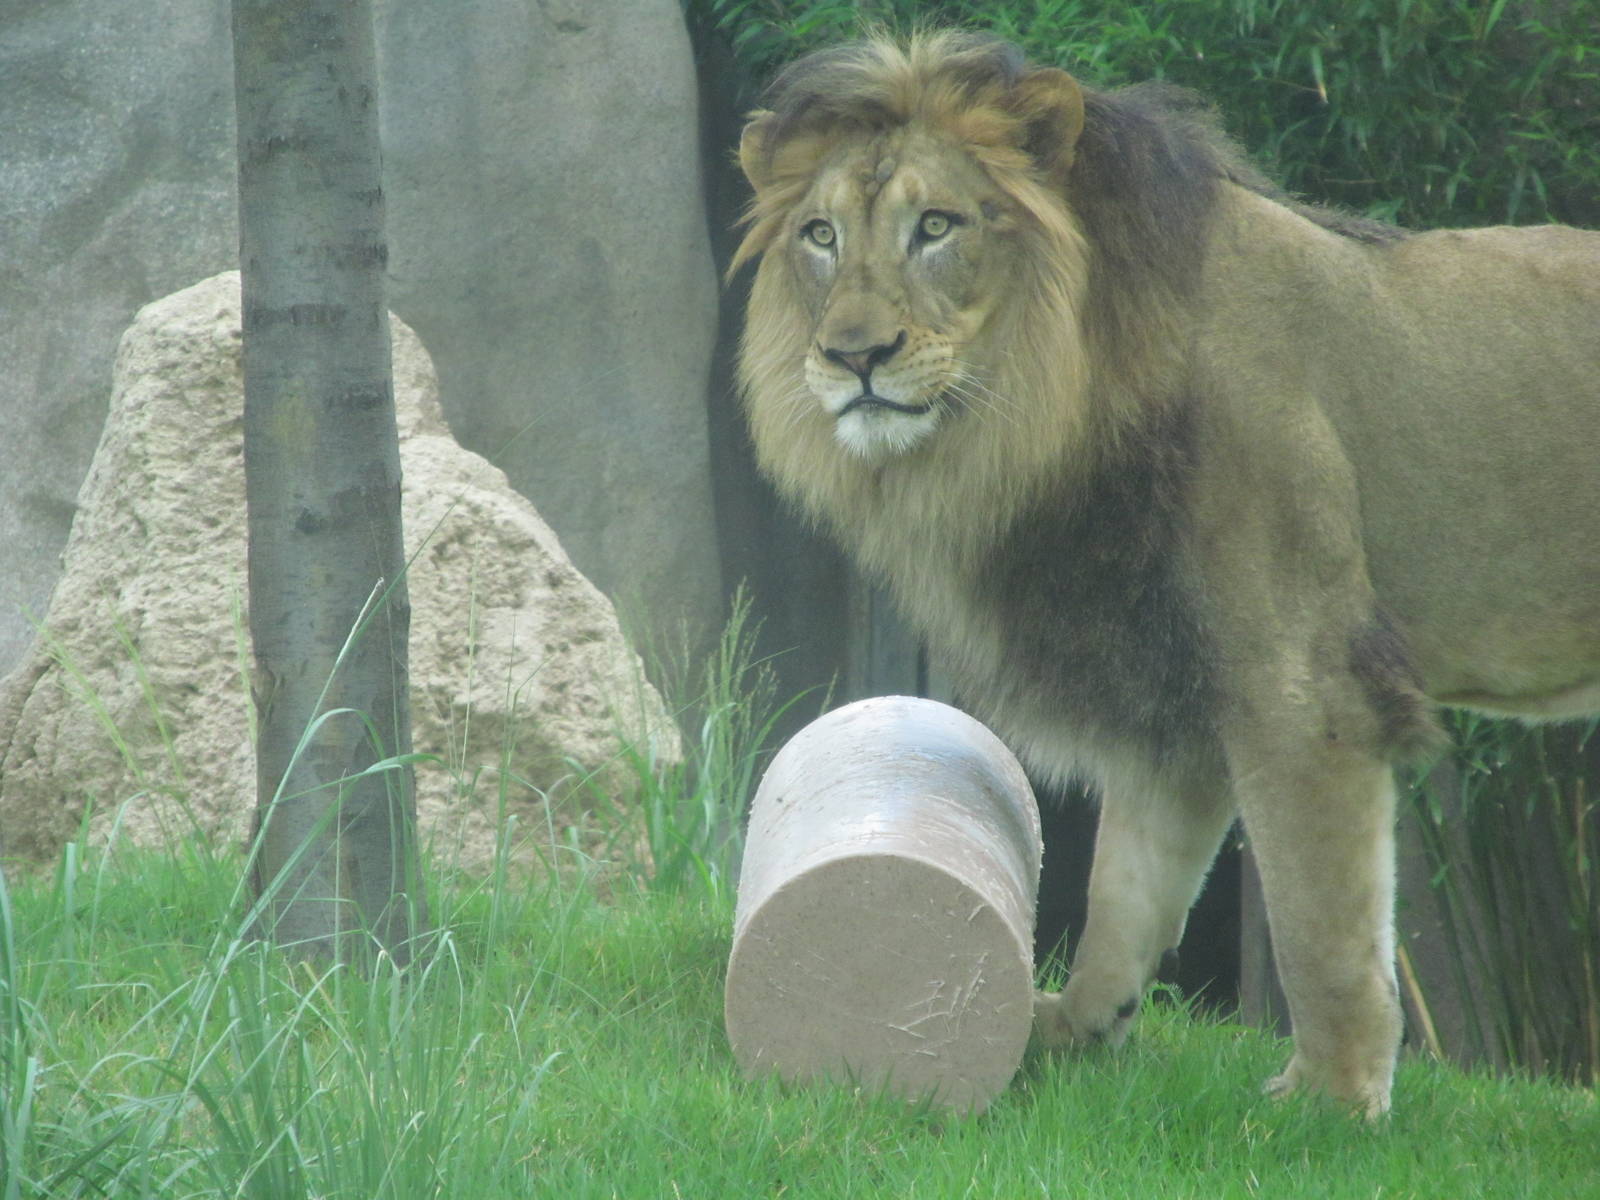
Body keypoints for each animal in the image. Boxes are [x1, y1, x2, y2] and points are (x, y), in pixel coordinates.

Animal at [730, 30, 1600, 1116]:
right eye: (819, 235)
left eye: (935, 226)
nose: (854, 356)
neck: (1049, 411)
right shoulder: (1169, 683)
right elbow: (1126, 891)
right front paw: (1069, 1030)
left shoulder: (1299, 686)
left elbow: (1322, 923)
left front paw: (1328, 1106)